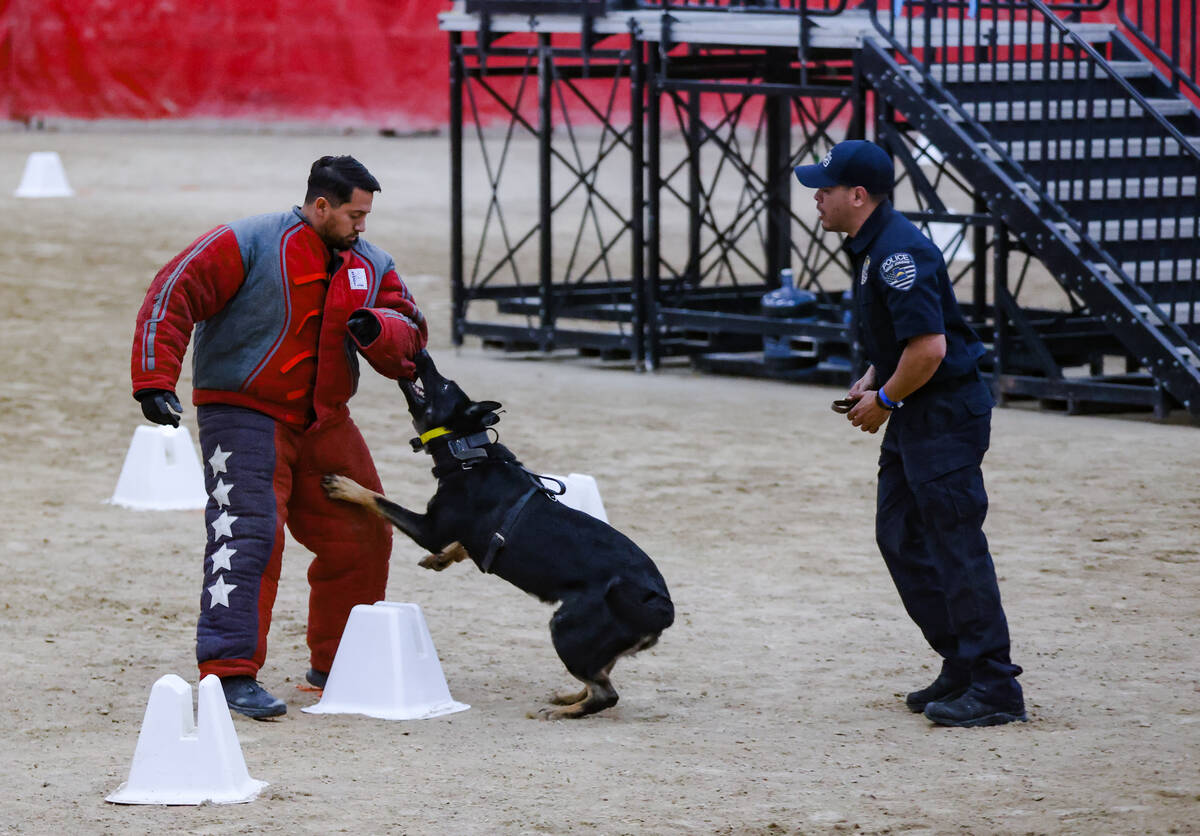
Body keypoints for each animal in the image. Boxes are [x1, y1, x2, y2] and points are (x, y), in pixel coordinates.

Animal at [321, 347, 676, 714]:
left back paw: (563, 711)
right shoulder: (465, 536)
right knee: (600, 676)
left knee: (606, 693)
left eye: (444, 385)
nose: (421, 352)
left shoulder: (428, 528)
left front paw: (345, 486)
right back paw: (569, 696)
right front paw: (440, 560)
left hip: (567, 627)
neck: (469, 453)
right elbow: (461, 545)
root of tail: (662, 605)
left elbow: (380, 500)